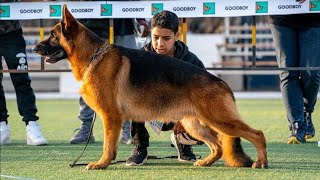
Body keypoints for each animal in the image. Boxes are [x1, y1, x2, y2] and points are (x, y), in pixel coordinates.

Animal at [33, 4, 268, 169]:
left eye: (52, 35)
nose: (34, 48)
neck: (93, 56)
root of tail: (220, 81)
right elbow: (112, 144)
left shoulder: (110, 116)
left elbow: (108, 145)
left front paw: (102, 164)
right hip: (195, 124)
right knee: (218, 146)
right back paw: (206, 162)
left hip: (220, 121)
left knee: (257, 134)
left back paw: (261, 162)